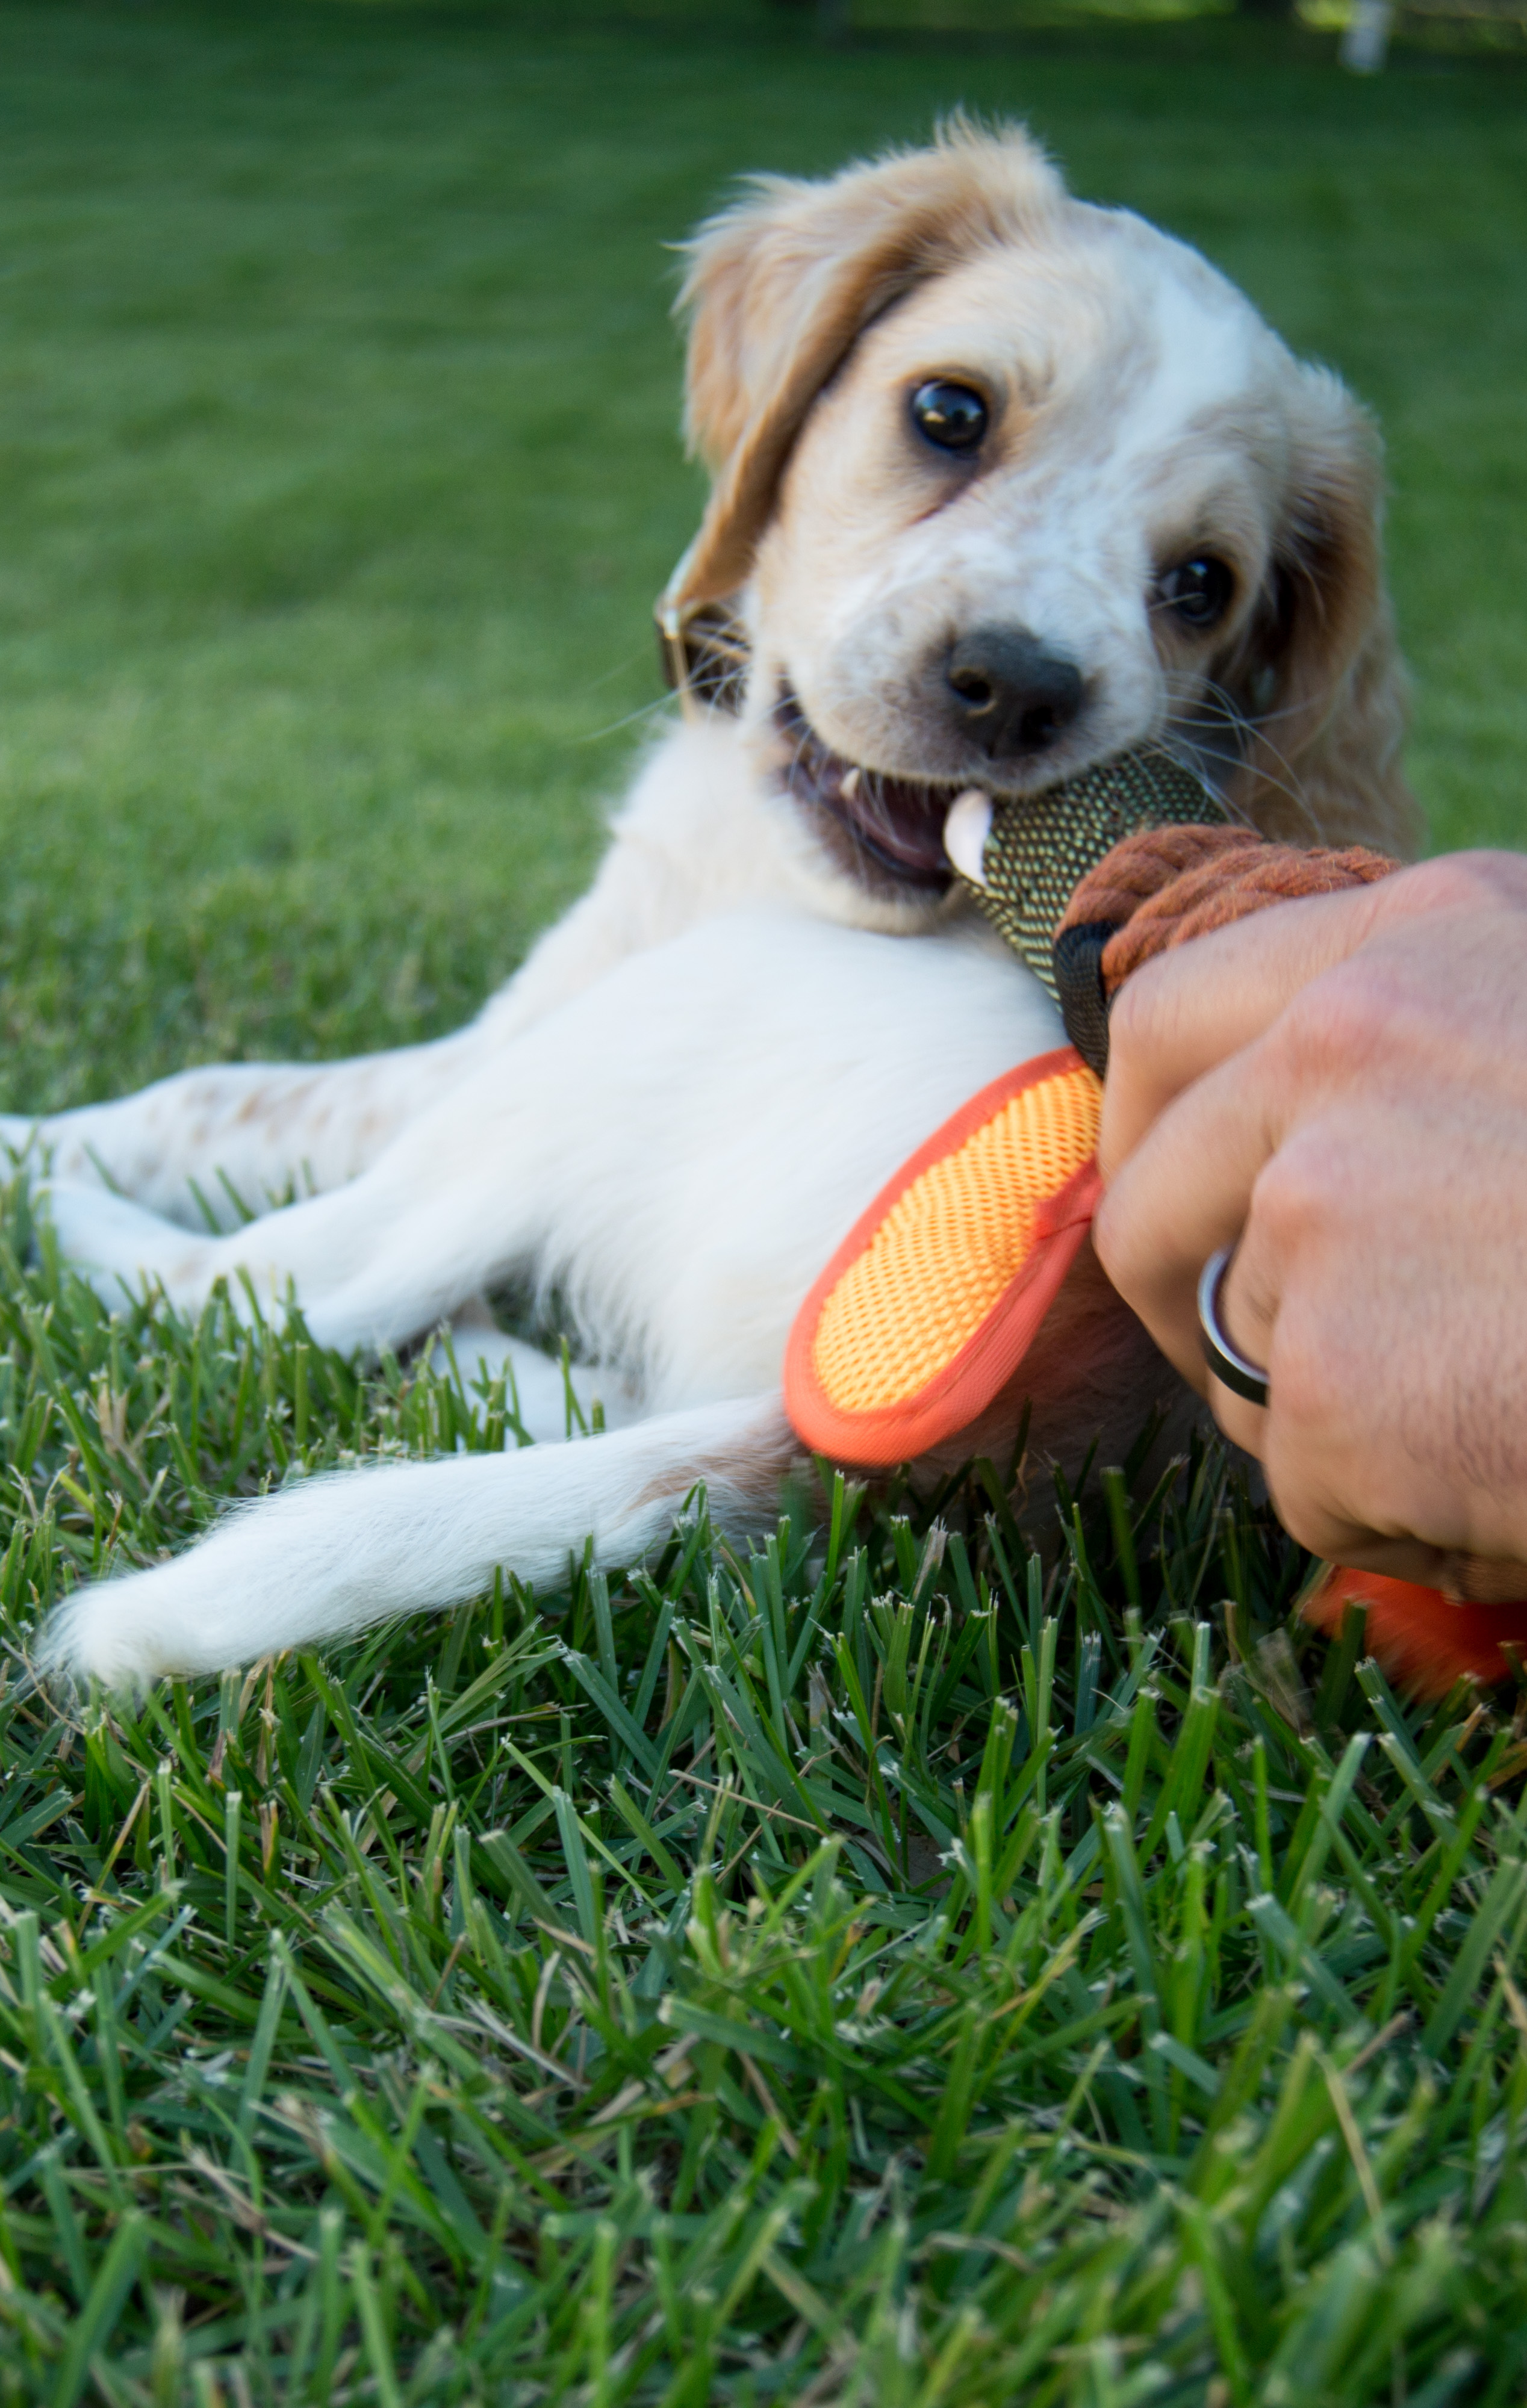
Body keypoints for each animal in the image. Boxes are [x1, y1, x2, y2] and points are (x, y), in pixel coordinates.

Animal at [14, 122, 1416, 1686]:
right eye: (947, 411)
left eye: (1199, 584)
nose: (1015, 686)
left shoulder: (515, 1034)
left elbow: (209, 1095)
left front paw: (38, 1137)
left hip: (635, 1039)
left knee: (282, 1290)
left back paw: (73, 1217)